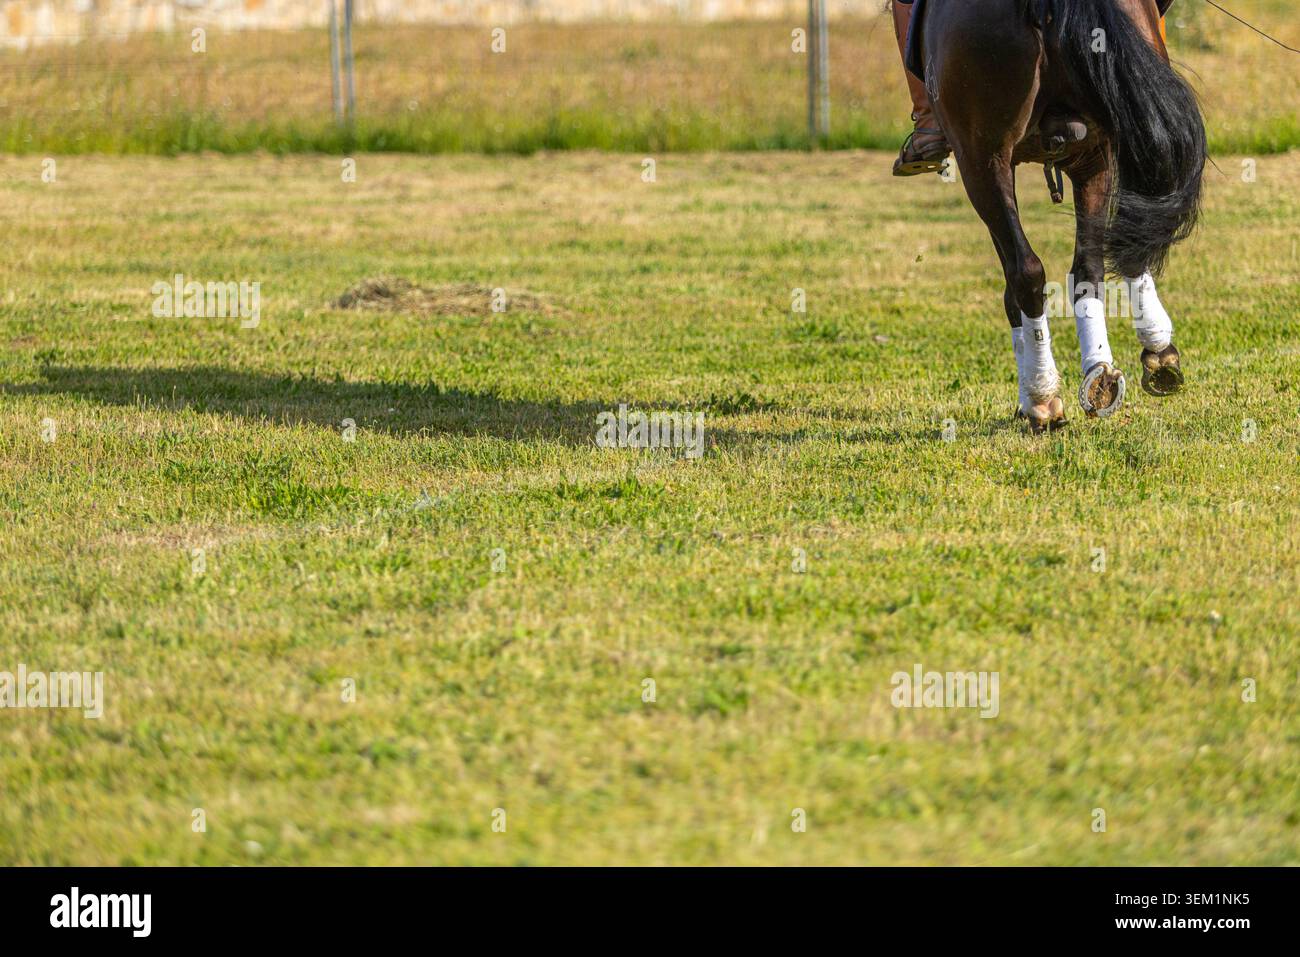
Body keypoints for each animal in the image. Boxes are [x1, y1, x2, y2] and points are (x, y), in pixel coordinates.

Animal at [915, 0, 1205, 431]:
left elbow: (1012, 281)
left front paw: (1030, 394)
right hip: (1097, 152)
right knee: (1101, 259)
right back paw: (1118, 366)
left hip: (982, 160)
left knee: (1027, 271)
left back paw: (1043, 397)